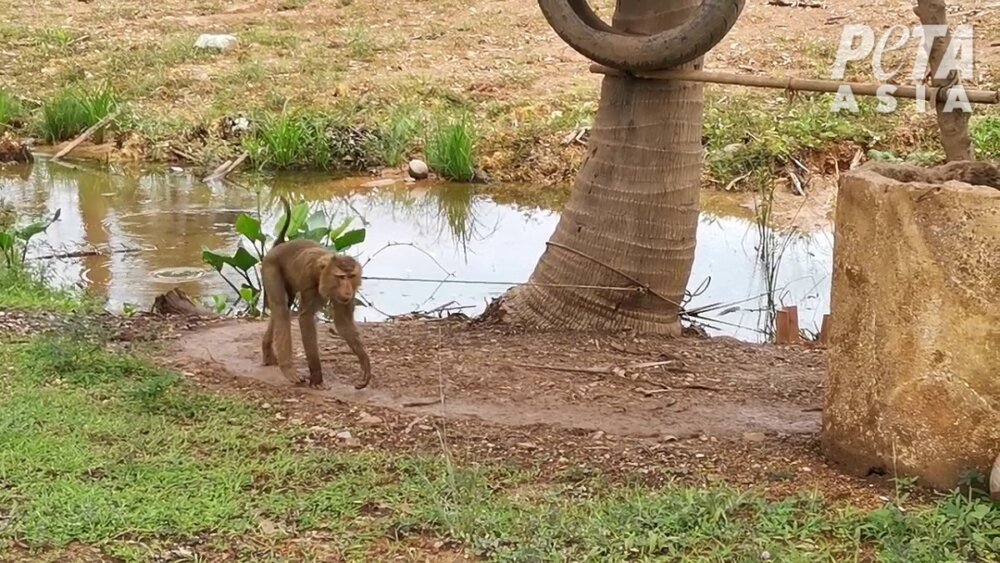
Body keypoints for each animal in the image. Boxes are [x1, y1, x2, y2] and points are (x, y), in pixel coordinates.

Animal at [260, 196, 372, 390]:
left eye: (351, 276)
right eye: (341, 277)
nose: (347, 289)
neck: (324, 274)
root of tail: (278, 246)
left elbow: (343, 323)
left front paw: (364, 363)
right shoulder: (309, 283)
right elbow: (305, 319)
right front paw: (317, 376)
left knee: (282, 307)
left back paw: (268, 352)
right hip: (270, 267)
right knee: (281, 309)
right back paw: (287, 368)